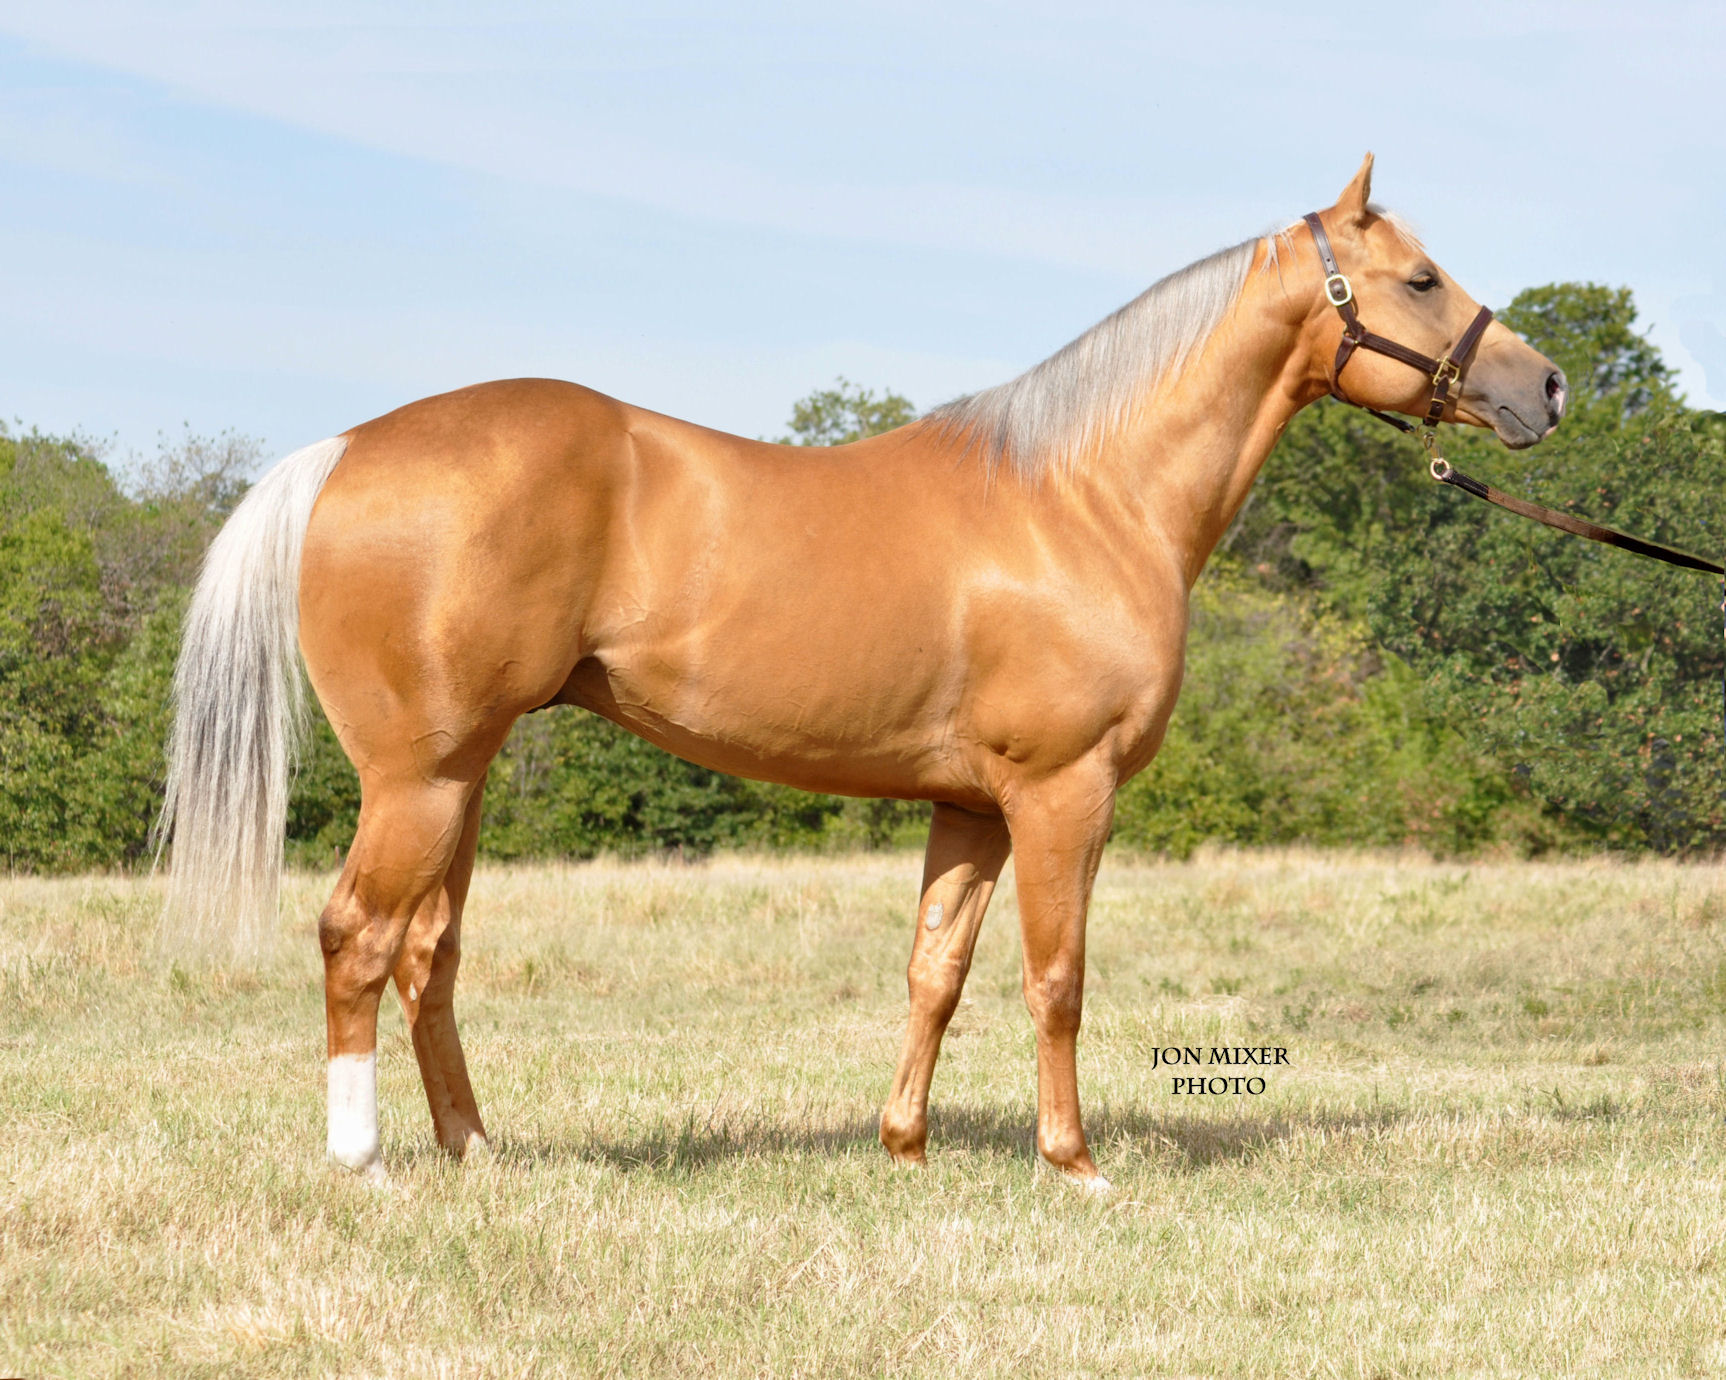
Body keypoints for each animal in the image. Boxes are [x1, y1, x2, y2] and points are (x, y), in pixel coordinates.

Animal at [161, 155, 1566, 1190]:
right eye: (1421, 277)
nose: (1544, 386)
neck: (1084, 496)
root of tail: (345, 451)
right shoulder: (1062, 794)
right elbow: (1056, 980)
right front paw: (1074, 1164)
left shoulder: (970, 807)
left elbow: (934, 974)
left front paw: (905, 1149)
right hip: (421, 775)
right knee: (357, 936)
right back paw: (365, 1164)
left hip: (462, 777)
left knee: (427, 953)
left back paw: (476, 1153)